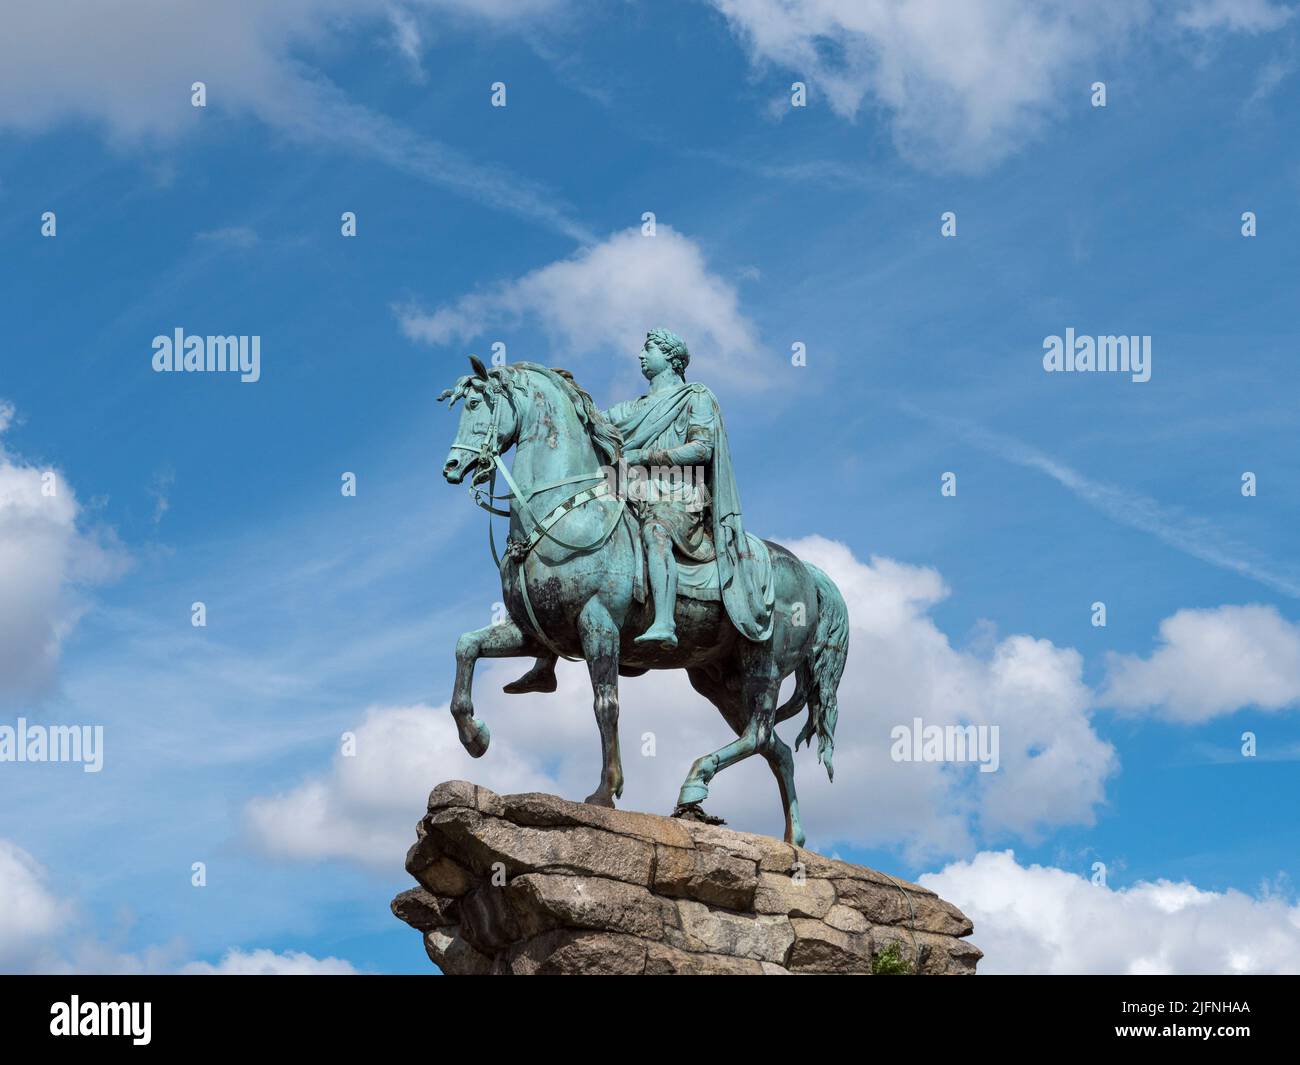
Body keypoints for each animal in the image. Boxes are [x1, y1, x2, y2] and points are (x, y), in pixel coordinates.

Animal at [436, 358, 847, 847]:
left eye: (475, 404)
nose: (452, 466)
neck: (566, 513)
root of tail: (808, 571)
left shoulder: (598, 624)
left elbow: (606, 705)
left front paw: (605, 791)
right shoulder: (533, 632)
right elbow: (466, 646)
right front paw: (475, 737)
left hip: (764, 663)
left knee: (760, 734)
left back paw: (695, 783)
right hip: (717, 679)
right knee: (775, 747)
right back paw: (791, 838)